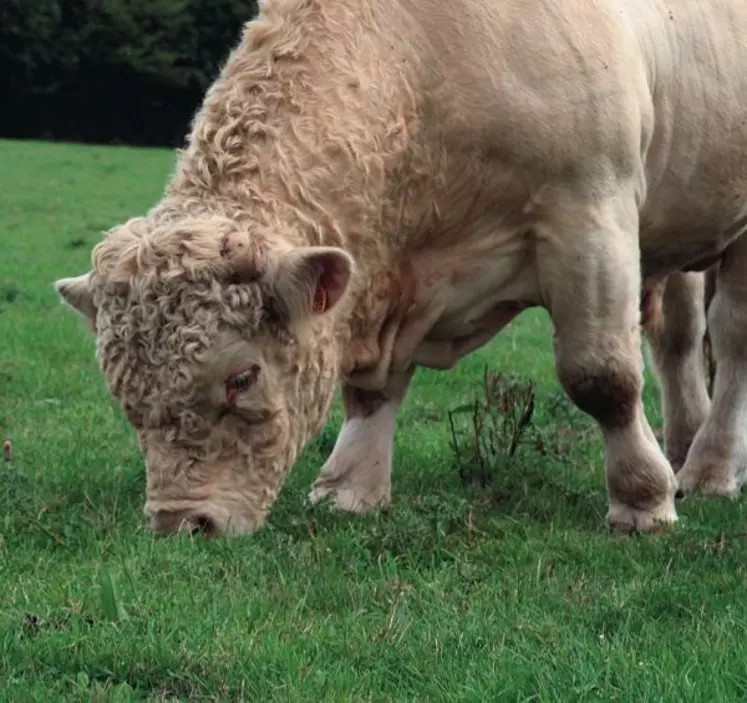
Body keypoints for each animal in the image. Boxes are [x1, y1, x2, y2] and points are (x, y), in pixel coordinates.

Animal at [52, 0, 747, 536]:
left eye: (242, 377)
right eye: (123, 392)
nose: (181, 522)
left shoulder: (589, 216)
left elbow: (602, 376)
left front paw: (642, 499)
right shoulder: (386, 277)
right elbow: (370, 391)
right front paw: (349, 487)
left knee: (731, 340)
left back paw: (708, 468)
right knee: (680, 339)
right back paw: (685, 446)